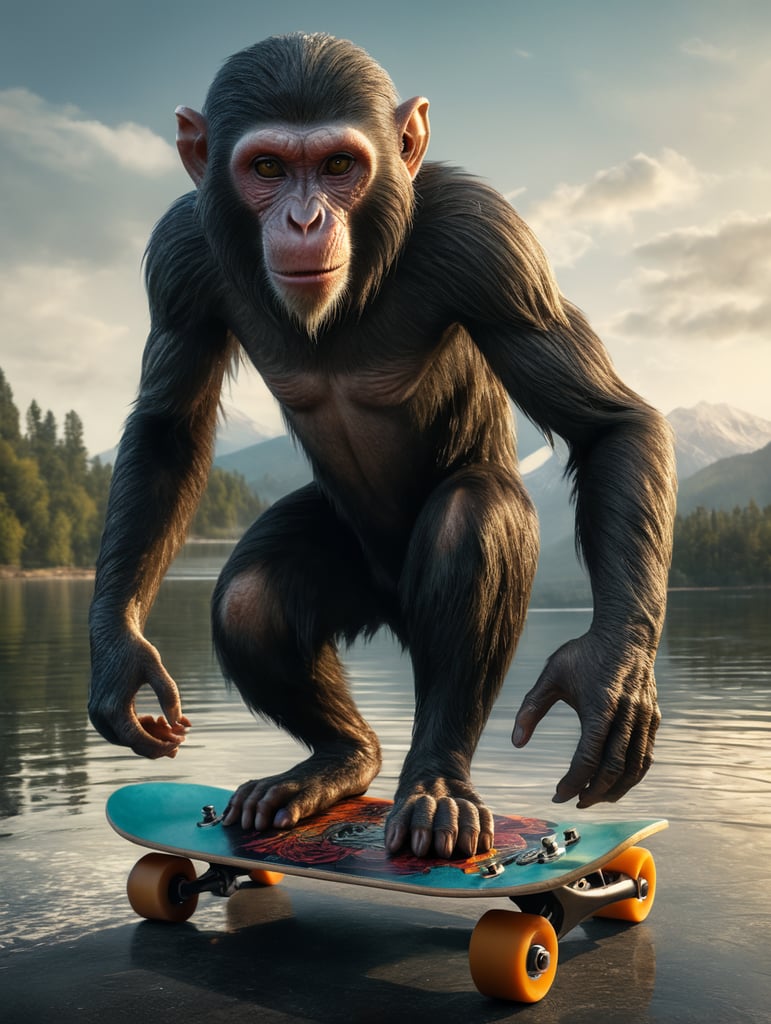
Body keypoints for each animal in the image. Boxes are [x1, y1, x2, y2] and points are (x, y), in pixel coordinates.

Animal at [88, 33, 676, 858]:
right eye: (266, 168)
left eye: (339, 165)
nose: (305, 218)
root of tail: (391, 609)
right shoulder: (178, 255)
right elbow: (166, 428)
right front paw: (120, 660)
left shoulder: (489, 242)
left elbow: (606, 425)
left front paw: (606, 675)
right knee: (248, 599)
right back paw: (336, 763)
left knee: (474, 519)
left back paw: (435, 788)